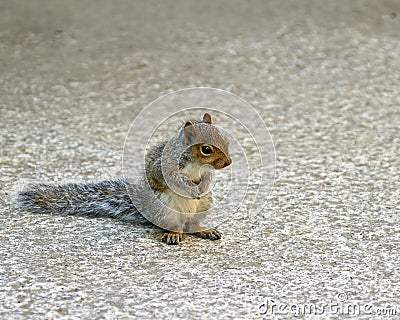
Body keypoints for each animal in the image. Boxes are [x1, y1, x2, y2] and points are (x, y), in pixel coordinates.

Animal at [16, 112, 231, 245]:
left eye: (225, 139)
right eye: (206, 149)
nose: (228, 162)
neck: (195, 163)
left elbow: (207, 177)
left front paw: (203, 185)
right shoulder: (164, 166)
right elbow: (171, 179)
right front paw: (191, 188)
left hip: (203, 206)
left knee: (190, 225)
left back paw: (204, 229)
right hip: (165, 210)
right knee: (177, 226)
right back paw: (173, 233)